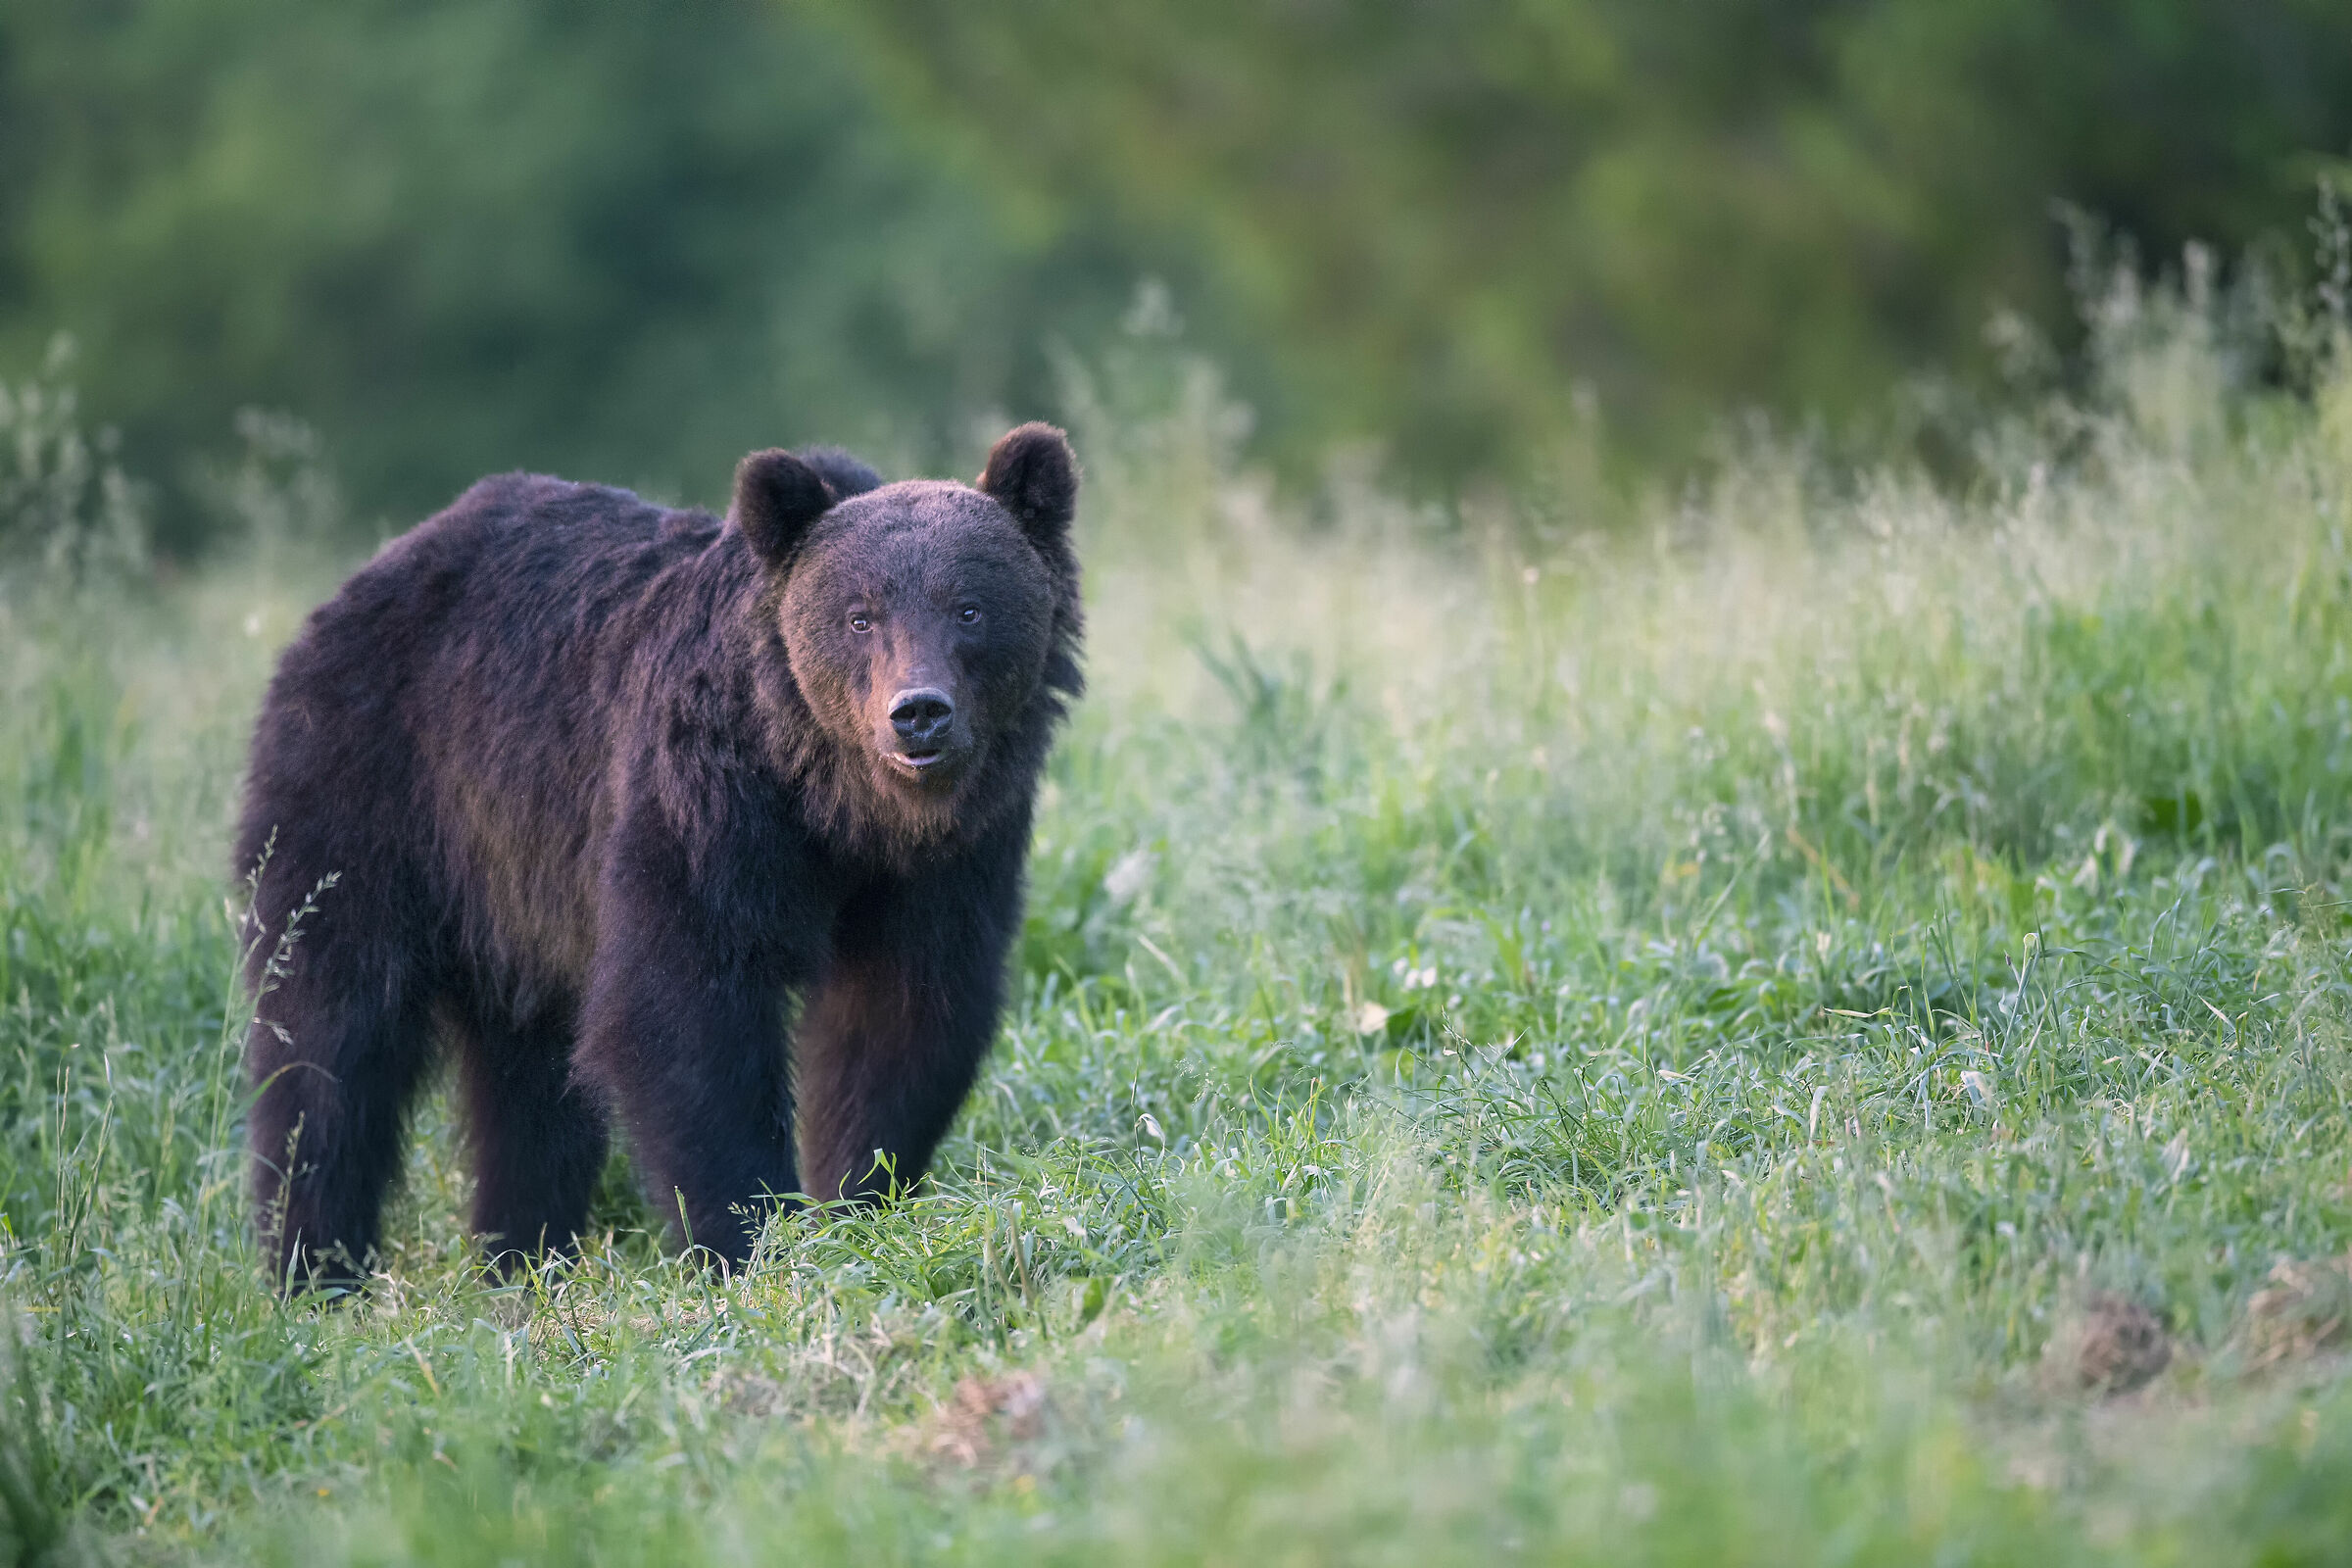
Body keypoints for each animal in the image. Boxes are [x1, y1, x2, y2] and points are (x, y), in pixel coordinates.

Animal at [234, 424, 1082, 1289]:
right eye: (859, 616)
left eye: (969, 608)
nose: (917, 713)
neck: (838, 806)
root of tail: (360, 580)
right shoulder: (702, 800)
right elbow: (684, 1008)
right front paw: (749, 1240)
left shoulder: (953, 857)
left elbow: (906, 1012)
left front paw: (859, 1197)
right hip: (370, 794)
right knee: (331, 1040)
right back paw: (315, 1266)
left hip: (514, 893)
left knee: (526, 1079)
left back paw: (522, 1255)